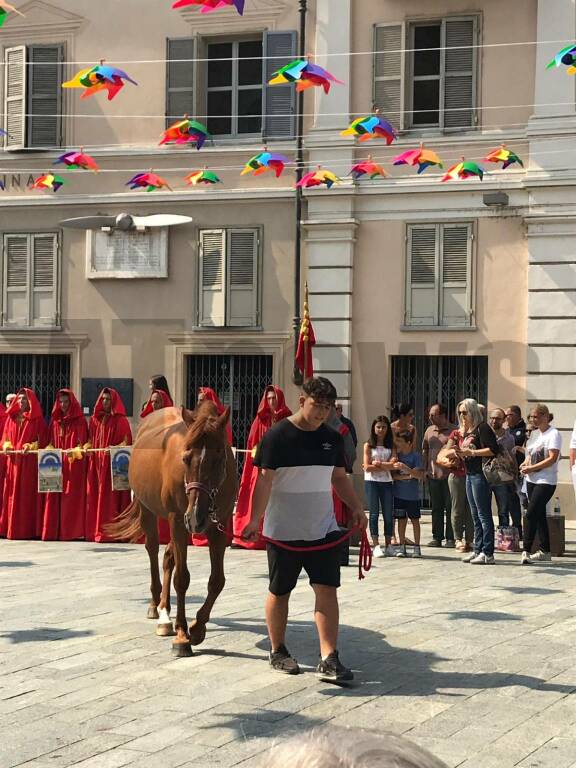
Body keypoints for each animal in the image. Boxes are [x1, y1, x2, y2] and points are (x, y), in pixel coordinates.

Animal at [109, 400, 237, 656]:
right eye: (185, 458)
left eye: (219, 459)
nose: (197, 517)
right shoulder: (178, 519)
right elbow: (182, 578)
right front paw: (181, 634)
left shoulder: (219, 524)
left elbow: (217, 581)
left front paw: (197, 627)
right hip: (151, 511)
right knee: (152, 550)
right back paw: (157, 608)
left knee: (168, 556)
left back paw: (164, 612)